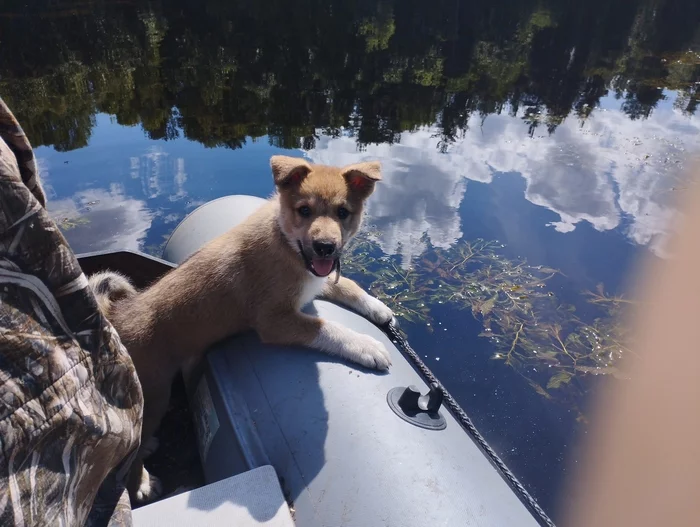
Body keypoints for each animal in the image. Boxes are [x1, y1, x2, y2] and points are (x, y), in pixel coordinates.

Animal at [89, 156, 394, 504]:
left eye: (343, 212)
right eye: (304, 210)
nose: (325, 248)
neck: (285, 242)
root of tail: (115, 317)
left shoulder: (313, 283)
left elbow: (348, 285)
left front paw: (378, 308)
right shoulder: (274, 321)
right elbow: (327, 327)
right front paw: (366, 345)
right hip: (153, 396)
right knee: (131, 451)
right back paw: (141, 482)